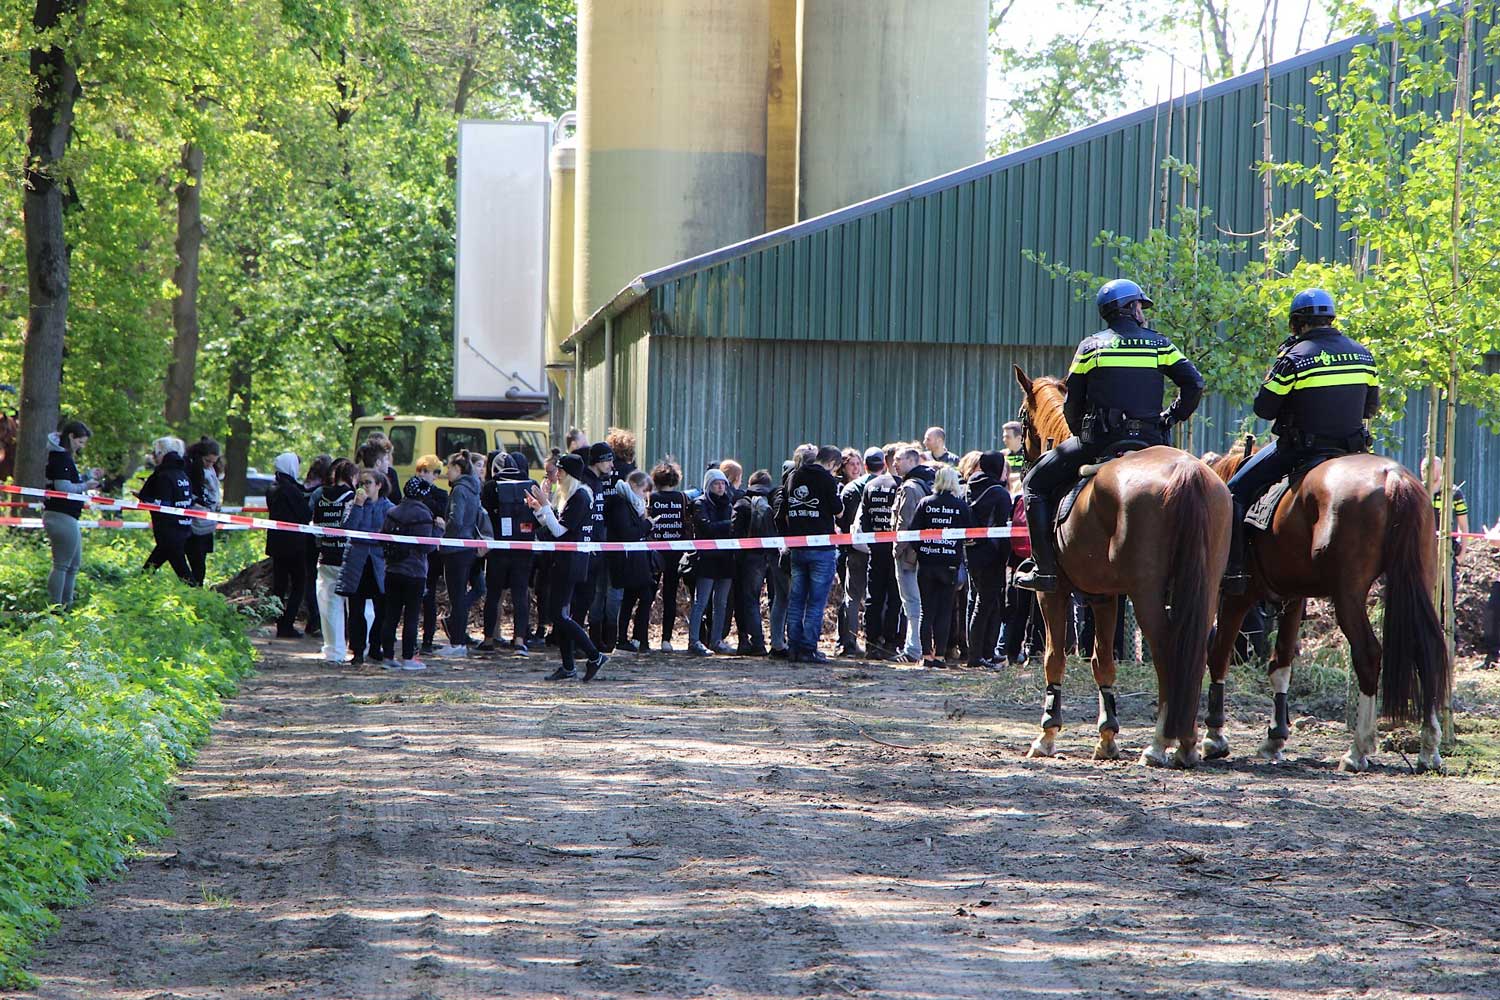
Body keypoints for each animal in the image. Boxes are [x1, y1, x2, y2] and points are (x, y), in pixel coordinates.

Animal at [1014, 371, 1236, 773]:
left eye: (1023, 417)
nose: (1020, 459)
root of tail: (1188, 473)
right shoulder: (1103, 597)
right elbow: (1102, 662)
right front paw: (1107, 738)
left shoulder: (1051, 592)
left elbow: (1054, 658)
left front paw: (1047, 734)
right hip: (1205, 589)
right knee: (1197, 653)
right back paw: (1187, 743)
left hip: (1146, 594)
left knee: (1166, 652)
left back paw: (1161, 743)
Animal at [1200, 437, 1446, 773]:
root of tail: (1392, 478)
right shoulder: (1292, 599)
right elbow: (1281, 664)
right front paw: (1275, 738)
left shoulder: (1237, 597)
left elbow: (1219, 655)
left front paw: (1214, 736)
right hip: (1417, 583)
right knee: (1425, 650)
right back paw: (1429, 749)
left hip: (1348, 596)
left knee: (1368, 654)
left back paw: (1358, 750)